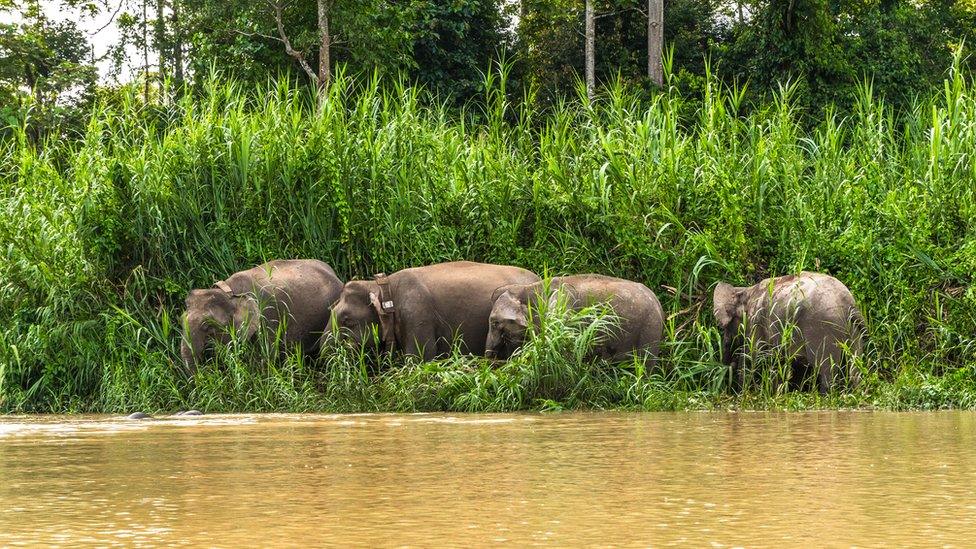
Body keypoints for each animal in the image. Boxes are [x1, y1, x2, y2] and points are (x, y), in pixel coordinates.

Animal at [712, 270, 864, 392]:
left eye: (726, 326)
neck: (745, 291)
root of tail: (849, 303)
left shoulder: (756, 320)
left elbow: (751, 357)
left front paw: (742, 394)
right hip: (853, 328)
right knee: (855, 365)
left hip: (823, 326)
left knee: (825, 368)